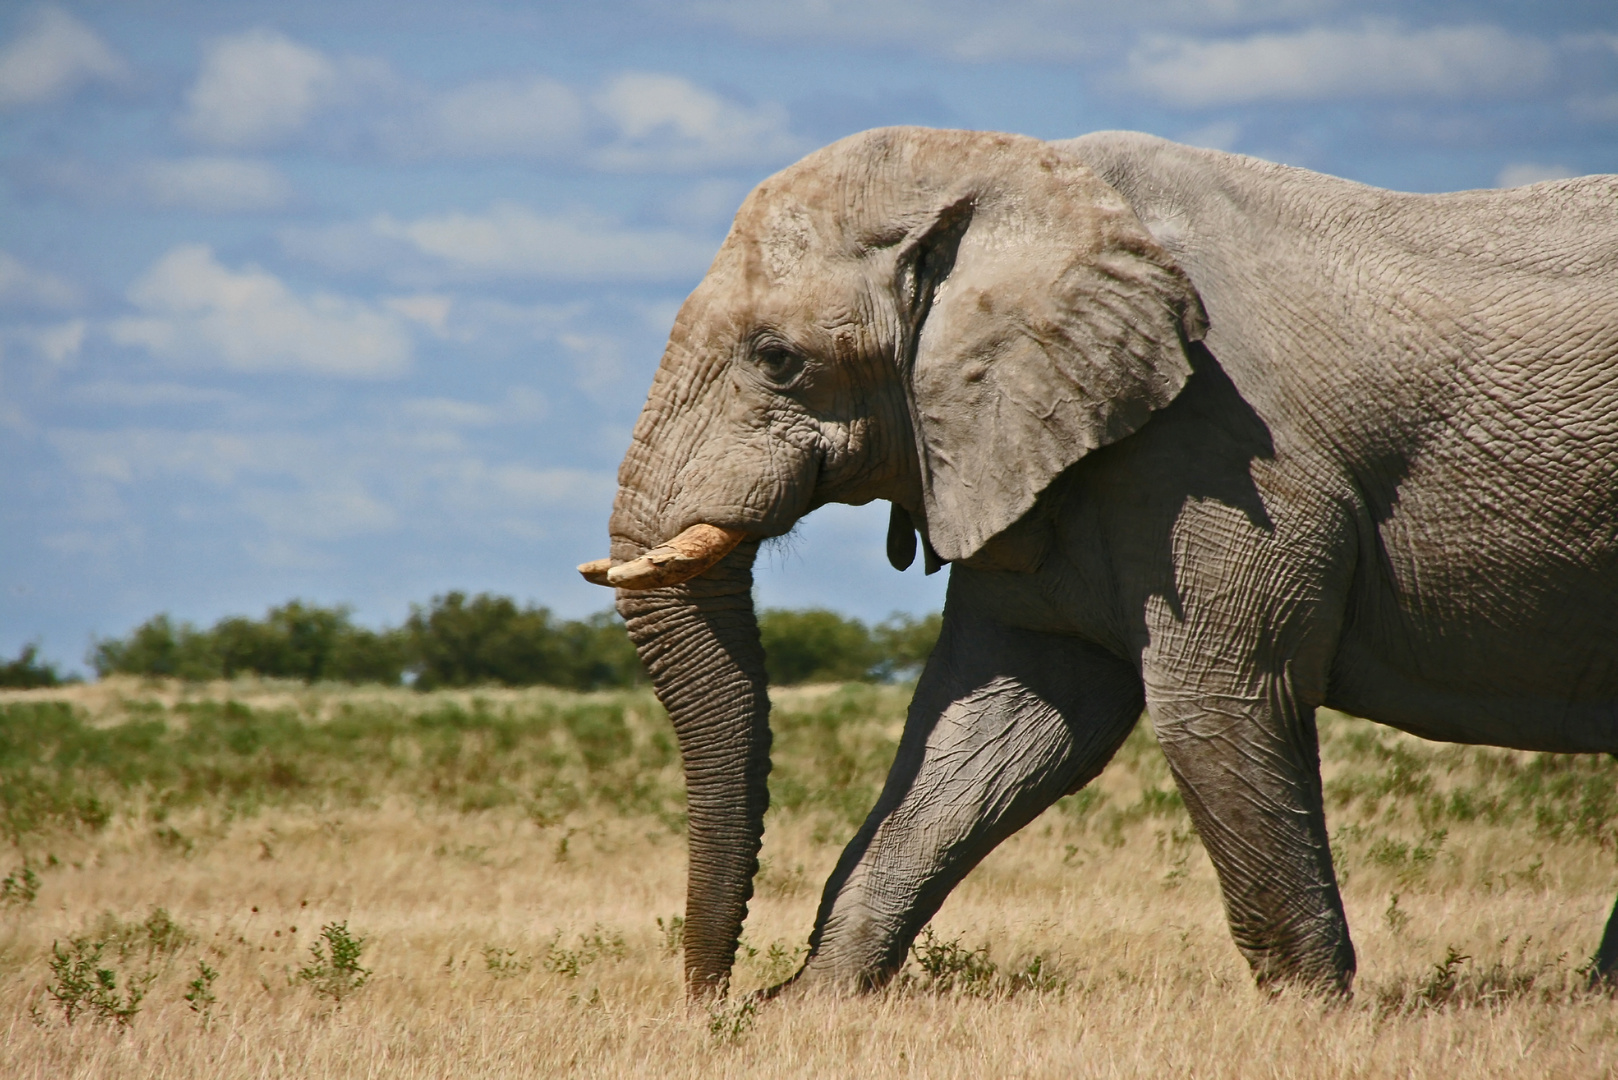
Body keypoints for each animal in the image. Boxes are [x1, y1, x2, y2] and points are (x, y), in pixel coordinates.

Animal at [579, 124, 1618, 997]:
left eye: (778, 358)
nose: (714, 998)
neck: (1030, 186)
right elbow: (1006, 727)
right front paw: (812, 1009)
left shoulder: (1223, 453)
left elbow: (1219, 700)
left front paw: (1314, 1020)